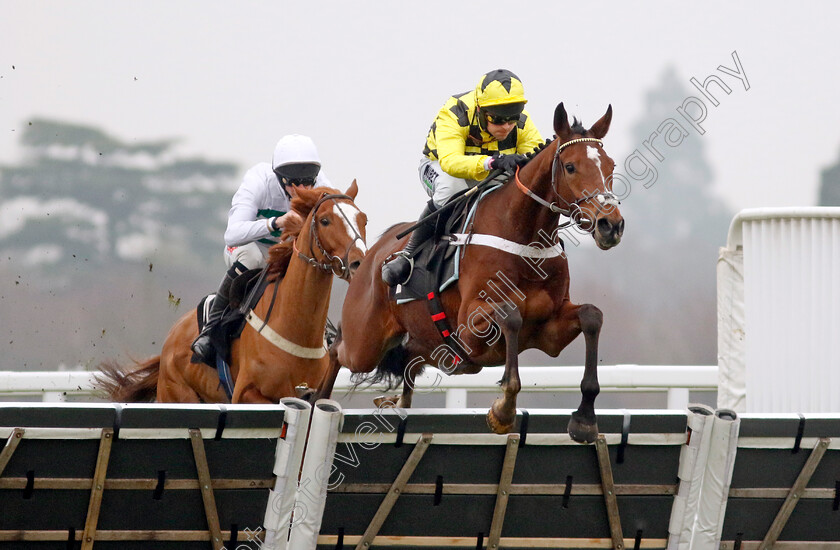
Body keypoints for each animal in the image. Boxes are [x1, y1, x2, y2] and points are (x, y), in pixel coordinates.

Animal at [97, 183, 366, 404]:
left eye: (363, 219)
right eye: (325, 220)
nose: (358, 263)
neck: (296, 331)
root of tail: (172, 337)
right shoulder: (245, 394)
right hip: (176, 395)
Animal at [320, 104, 624, 444]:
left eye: (610, 165)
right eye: (570, 167)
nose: (611, 225)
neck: (522, 238)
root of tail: (371, 256)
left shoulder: (549, 331)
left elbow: (592, 315)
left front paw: (584, 419)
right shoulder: (470, 326)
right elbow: (511, 316)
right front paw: (503, 410)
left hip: (429, 347)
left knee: (408, 359)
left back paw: (395, 401)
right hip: (364, 343)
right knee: (336, 351)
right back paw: (316, 398)